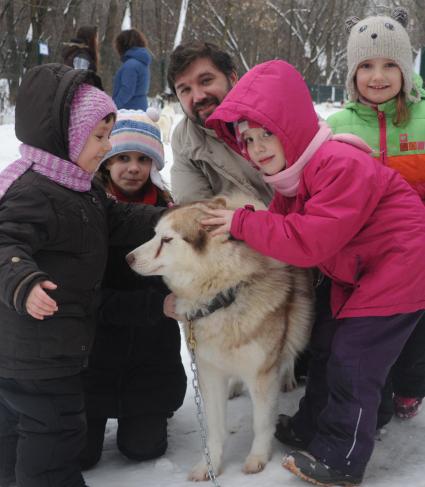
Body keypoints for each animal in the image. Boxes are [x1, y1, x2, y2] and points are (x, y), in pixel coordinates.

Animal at [125, 197, 312, 480]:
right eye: (155, 234)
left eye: (167, 240)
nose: (128, 258)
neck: (222, 297)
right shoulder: (209, 373)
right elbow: (213, 428)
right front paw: (210, 464)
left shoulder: (262, 375)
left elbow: (261, 423)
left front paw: (257, 458)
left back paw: (288, 376)